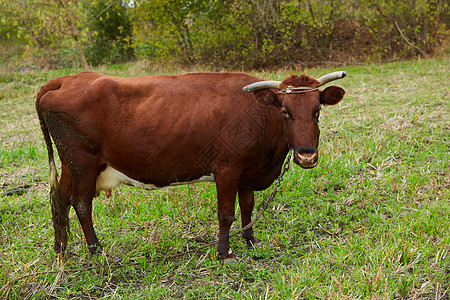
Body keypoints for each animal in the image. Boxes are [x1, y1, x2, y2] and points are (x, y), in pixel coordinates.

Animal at [37, 70, 346, 260]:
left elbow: (247, 208)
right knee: (81, 204)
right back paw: (96, 250)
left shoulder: (247, 171)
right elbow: (226, 214)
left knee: (61, 201)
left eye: (317, 110)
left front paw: (251, 240)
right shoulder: (227, 168)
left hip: (71, 165)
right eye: (285, 112)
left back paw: (60, 248)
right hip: (83, 163)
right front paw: (225, 253)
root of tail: (65, 80)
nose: (306, 155)